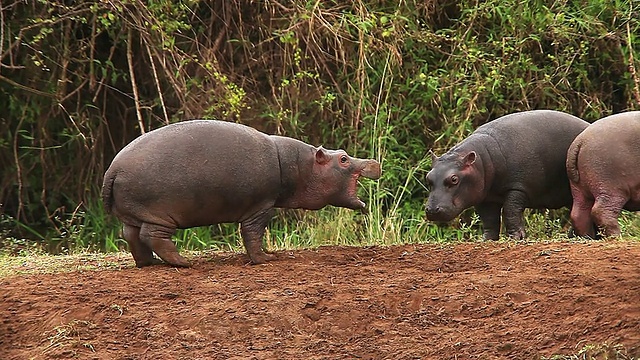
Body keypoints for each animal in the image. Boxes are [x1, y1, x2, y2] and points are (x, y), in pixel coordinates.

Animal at [101, 121, 380, 268]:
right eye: (343, 159)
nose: (374, 161)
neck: (300, 166)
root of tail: (113, 168)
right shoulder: (261, 206)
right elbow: (253, 234)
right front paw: (266, 258)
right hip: (159, 213)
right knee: (152, 236)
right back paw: (184, 262)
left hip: (134, 213)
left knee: (132, 236)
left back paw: (149, 264)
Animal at [424, 109, 592, 239]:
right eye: (428, 177)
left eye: (454, 179)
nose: (431, 210)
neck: (483, 160)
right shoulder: (484, 196)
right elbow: (489, 219)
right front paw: (487, 239)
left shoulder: (518, 187)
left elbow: (509, 211)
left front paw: (517, 237)